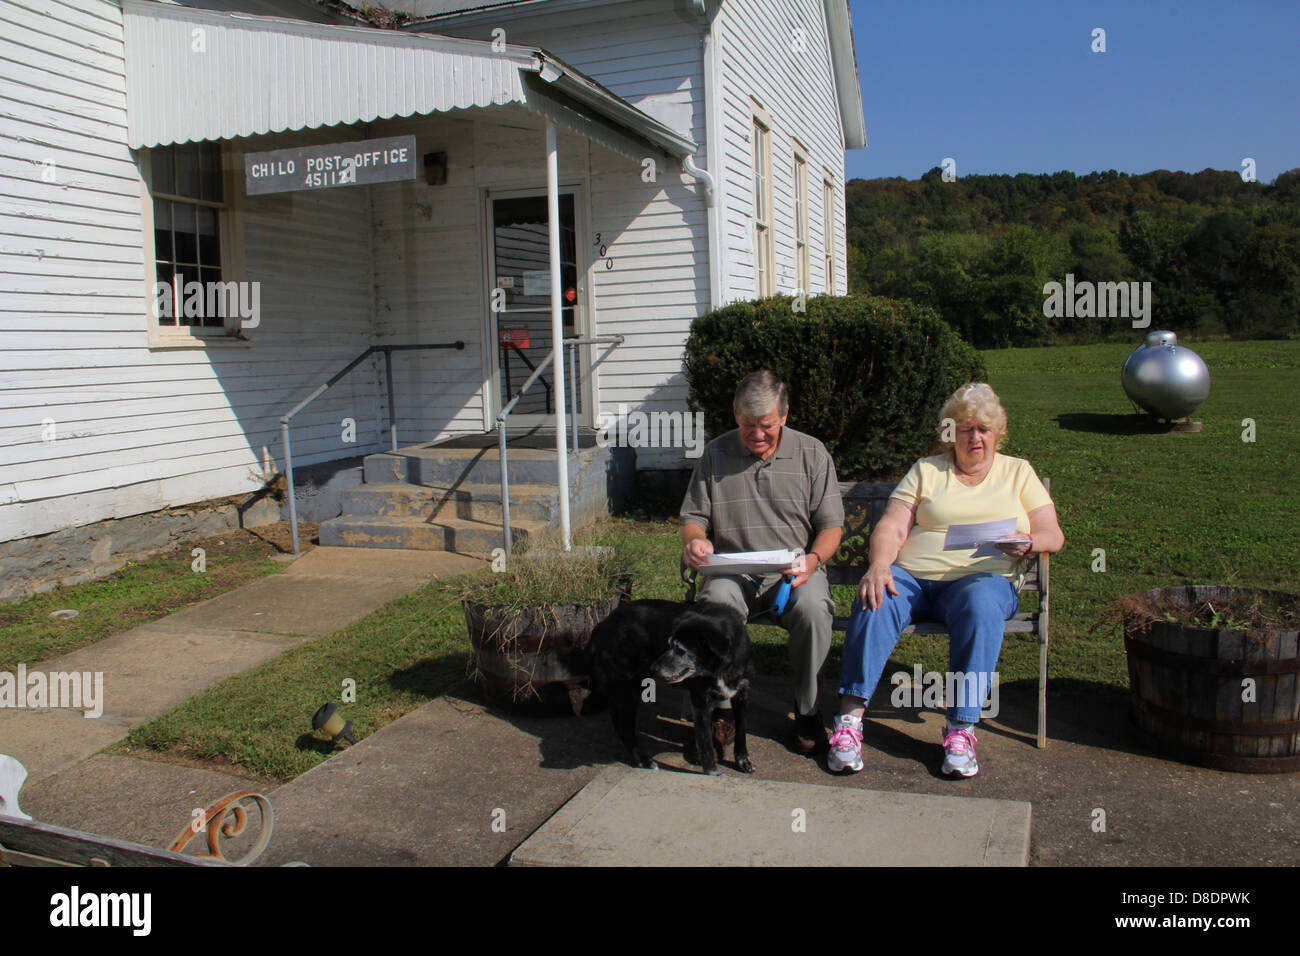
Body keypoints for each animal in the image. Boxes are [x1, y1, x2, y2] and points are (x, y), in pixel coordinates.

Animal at [587, 600, 759, 775]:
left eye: (681, 650)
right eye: (668, 644)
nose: (654, 668)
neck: (720, 668)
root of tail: (603, 623)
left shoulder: (741, 693)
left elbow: (741, 731)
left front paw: (742, 760)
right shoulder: (701, 701)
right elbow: (705, 744)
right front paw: (712, 773)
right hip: (629, 689)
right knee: (623, 726)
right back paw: (643, 760)